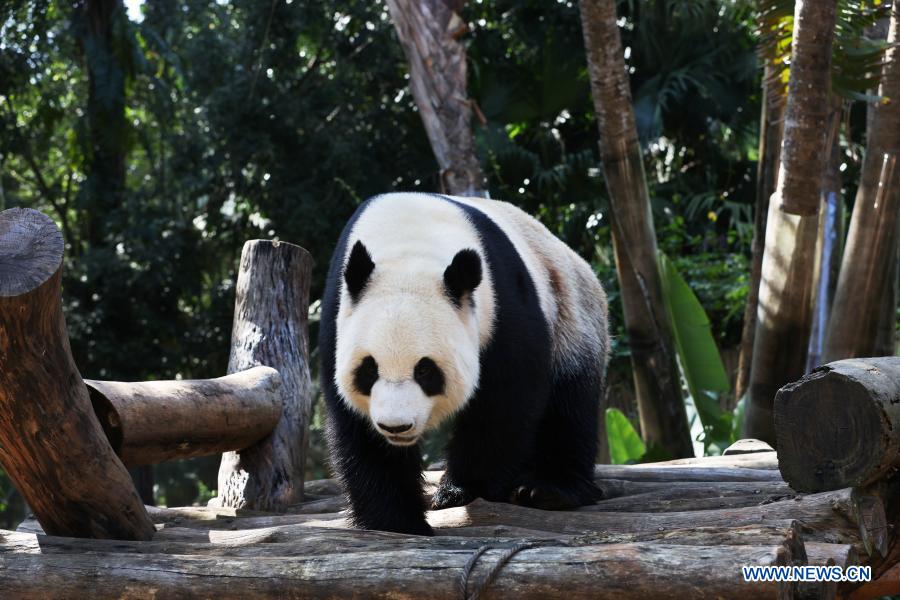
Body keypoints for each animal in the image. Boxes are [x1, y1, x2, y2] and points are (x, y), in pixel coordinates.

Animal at [320, 192, 608, 536]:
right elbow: (360, 433)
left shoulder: (504, 304)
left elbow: (505, 401)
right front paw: (396, 521)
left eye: (425, 370)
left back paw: (549, 489)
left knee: (569, 403)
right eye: (369, 369)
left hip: (570, 309)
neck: (409, 244)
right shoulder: (339, 317)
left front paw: (462, 489)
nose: (396, 426)